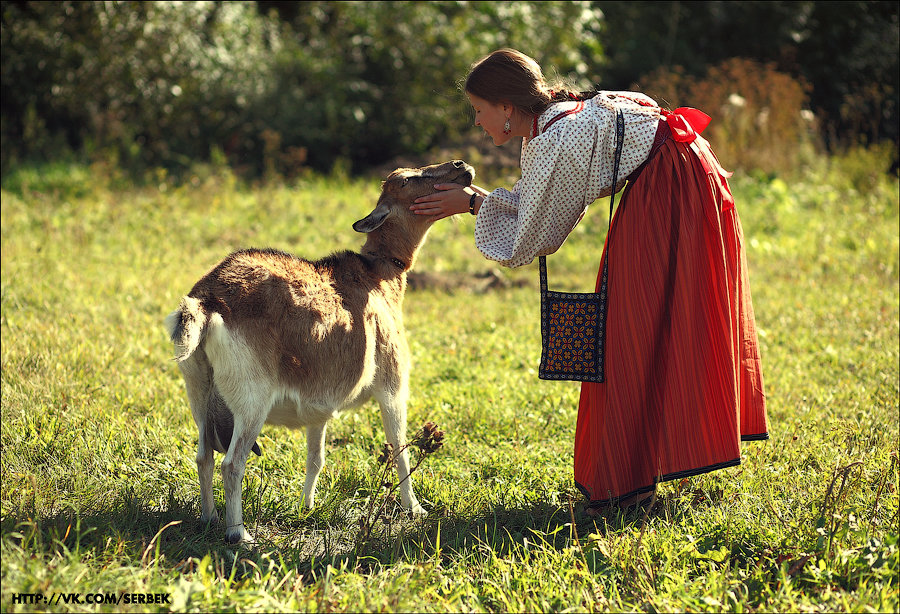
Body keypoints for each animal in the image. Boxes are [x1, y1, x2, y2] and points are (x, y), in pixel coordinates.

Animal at [168, 160, 478, 544]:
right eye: (408, 180)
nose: (461, 166)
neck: (379, 277)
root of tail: (206, 301)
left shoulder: (318, 401)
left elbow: (315, 457)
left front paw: (306, 507)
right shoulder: (392, 384)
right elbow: (400, 449)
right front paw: (415, 509)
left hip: (198, 387)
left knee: (203, 456)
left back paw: (209, 518)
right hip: (252, 396)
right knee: (232, 463)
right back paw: (239, 533)